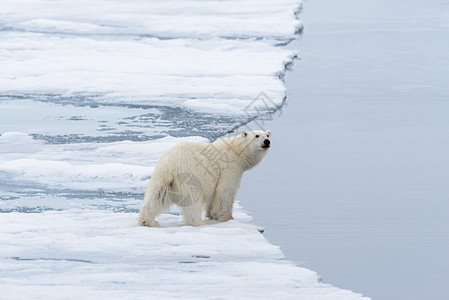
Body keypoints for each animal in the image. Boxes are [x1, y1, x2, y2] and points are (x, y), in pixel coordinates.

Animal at [137, 130, 270, 226]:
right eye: (257, 135)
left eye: (268, 134)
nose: (267, 141)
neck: (237, 149)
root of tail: (170, 167)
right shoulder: (229, 168)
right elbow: (225, 191)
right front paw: (228, 218)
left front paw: (212, 215)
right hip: (190, 176)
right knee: (193, 200)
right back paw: (199, 222)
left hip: (160, 178)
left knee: (156, 197)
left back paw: (147, 221)